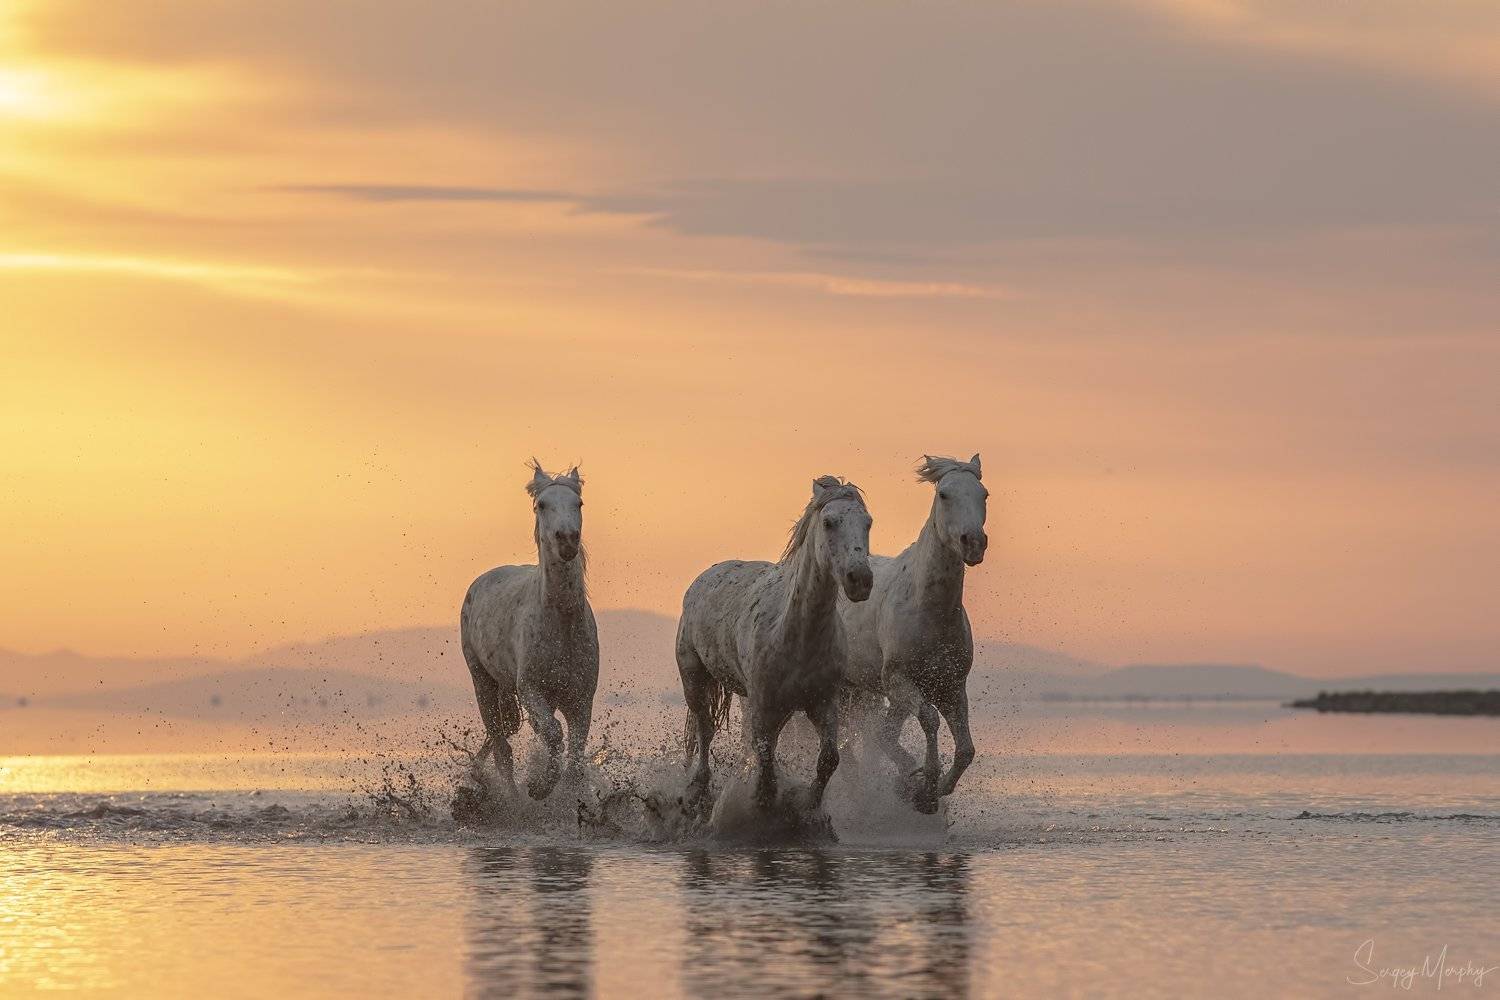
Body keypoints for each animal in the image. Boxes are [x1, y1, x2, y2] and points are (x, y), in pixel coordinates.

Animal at [460, 460, 599, 800]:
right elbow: (553, 733)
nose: (567, 539)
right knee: (501, 749)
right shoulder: (532, 690)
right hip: (483, 682)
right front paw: (538, 787)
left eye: (578, 503)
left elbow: (575, 754)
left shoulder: (581, 699)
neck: (561, 622)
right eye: (542, 504)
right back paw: (510, 797)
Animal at [676, 476, 874, 815]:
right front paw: (763, 806)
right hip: (695, 679)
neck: (795, 635)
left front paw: (810, 808)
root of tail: (703, 578)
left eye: (868, 523)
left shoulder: (822, 703)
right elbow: (766, 762)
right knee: (705, 729)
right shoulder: (764, 706)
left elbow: (828, 759)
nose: (860, 578)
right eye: (829, 522)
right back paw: (697, 790)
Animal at [839, 454, 988, 813]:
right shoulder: (899, 680)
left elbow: (966, 748)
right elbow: (930, 720)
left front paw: (931, 789)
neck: (928, 611)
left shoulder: (951, 686)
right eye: (945, 494)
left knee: (881, 734)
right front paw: (925, 788)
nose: (974, 543)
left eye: (984, 494)